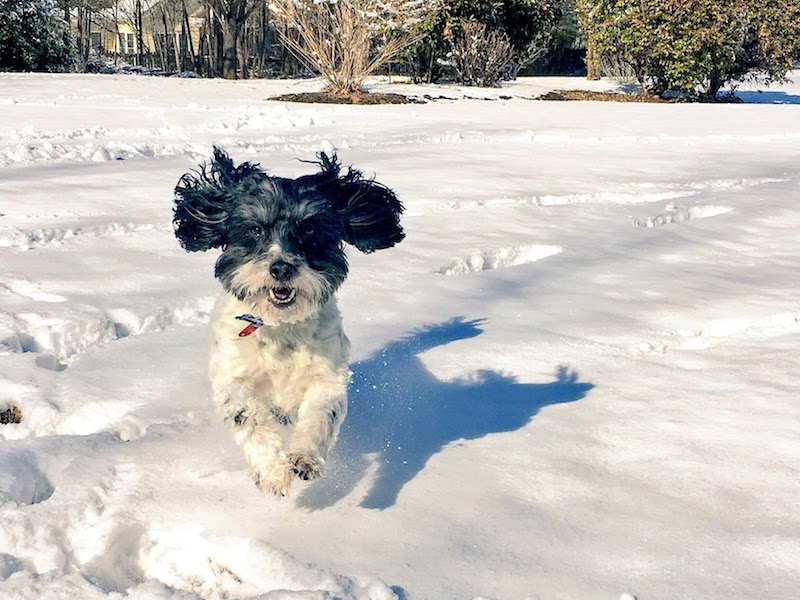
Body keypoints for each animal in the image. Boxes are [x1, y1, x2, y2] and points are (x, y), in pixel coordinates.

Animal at [173, 148, 404, 494]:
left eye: (308, 229)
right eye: (255, 229)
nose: (281, 267)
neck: (280, 328)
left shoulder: (326, 378)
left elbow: (320, 416)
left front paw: (304, 460)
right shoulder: (234, 380)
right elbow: (251, 420)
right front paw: (273, 471)